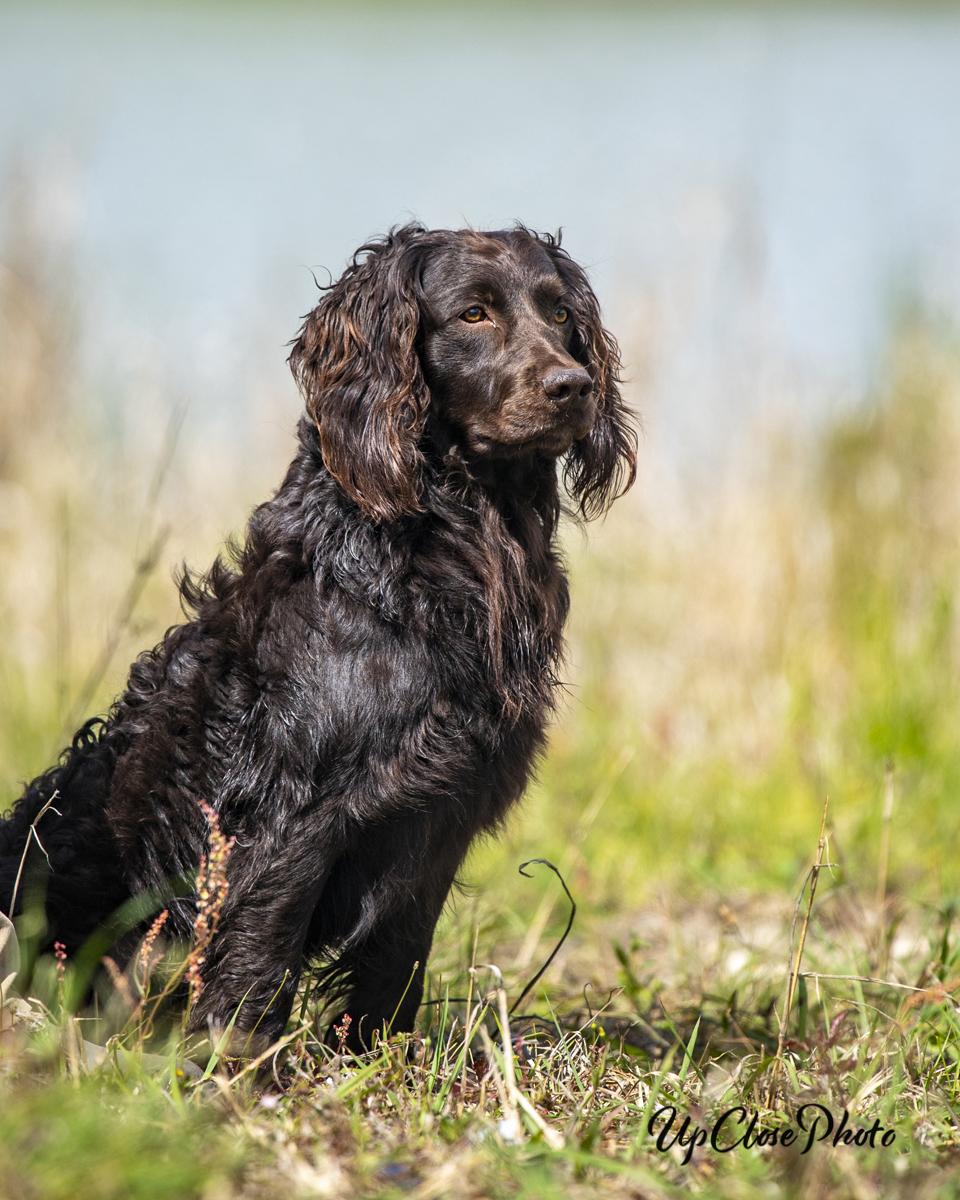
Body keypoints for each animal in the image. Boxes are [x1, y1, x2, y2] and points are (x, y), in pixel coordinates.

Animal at [0, 224, 636, 1050]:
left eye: (560, 313)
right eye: (474, 313)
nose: (573, 386)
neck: (441, 545)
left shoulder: (441, 807)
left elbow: (397, 955)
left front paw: (379, 1058)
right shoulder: (291, 807)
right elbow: (259, 949)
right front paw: (239, 1064)